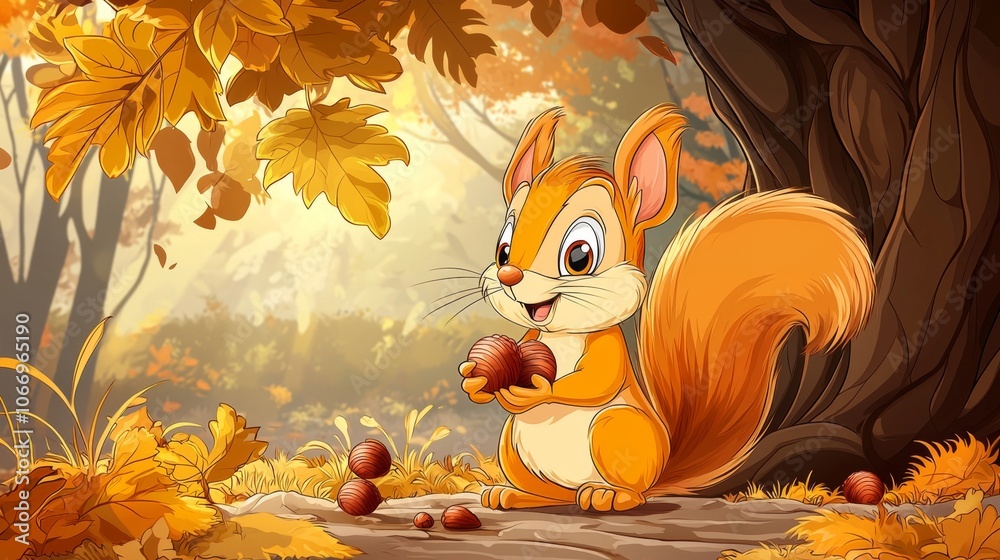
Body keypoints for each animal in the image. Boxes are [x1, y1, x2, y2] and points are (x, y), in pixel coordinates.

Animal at [458, 104, 876, 512]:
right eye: (503, 249)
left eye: (579, 255)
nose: (509, 275)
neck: (562, 335)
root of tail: (661, 474)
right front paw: (474, 380)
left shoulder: (607, 347)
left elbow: (595, 380)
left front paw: (537, 391)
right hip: (511, 444)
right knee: (552, 493)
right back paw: (514, 494)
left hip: (616, 429)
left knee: (628, 490)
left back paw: (607, 496)